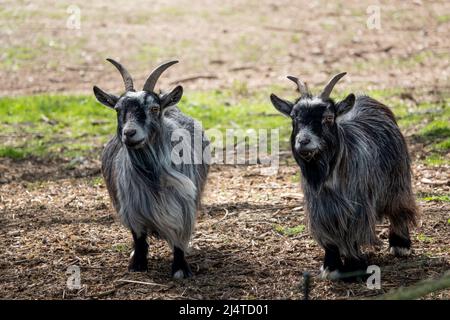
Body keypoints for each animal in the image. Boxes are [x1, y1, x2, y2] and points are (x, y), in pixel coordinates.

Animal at [94, 58, 209, 278]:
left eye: (154, 108)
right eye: (117, 109)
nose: (129, 133)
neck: (153, 177)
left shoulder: (184, 206)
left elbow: (179, 236)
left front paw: (180, 268)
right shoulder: (132, 206)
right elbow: (138, 237)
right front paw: (137, 263)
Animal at [268, 72, 416, 280]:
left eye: (328, 117)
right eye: (293, 118)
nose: (303, 141)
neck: (328, 174)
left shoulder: (357, 204)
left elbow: (353, 232)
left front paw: (355, 266)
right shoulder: (321, 208)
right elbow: (329, 236)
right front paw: (331, 266)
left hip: (398, 178)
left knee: (399, 208)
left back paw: (400, 244)